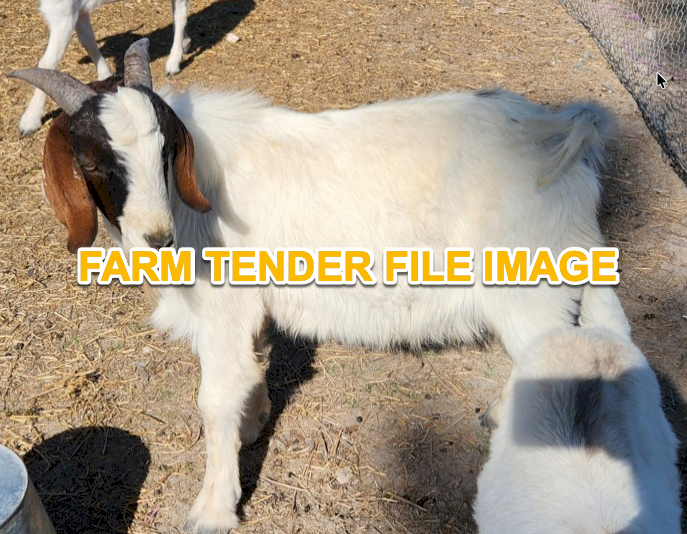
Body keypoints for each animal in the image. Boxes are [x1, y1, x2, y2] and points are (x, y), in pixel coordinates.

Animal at [10, 39, 617, 533]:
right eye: (93, 160)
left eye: (165, 150)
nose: (158, 239)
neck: (196, 199)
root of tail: (561, 132)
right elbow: (254, 364)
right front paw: (254, 424)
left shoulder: (223, 309)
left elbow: (215, 397)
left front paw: (212, 510)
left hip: (527, 290)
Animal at [18, 0, 190, 136]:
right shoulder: (78, 11)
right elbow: (87, 40)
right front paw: (105, 75)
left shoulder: (63, 15)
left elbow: (48, 63)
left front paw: (30, 121)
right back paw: (185, 43)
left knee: (180, 15)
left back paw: (173, 61)